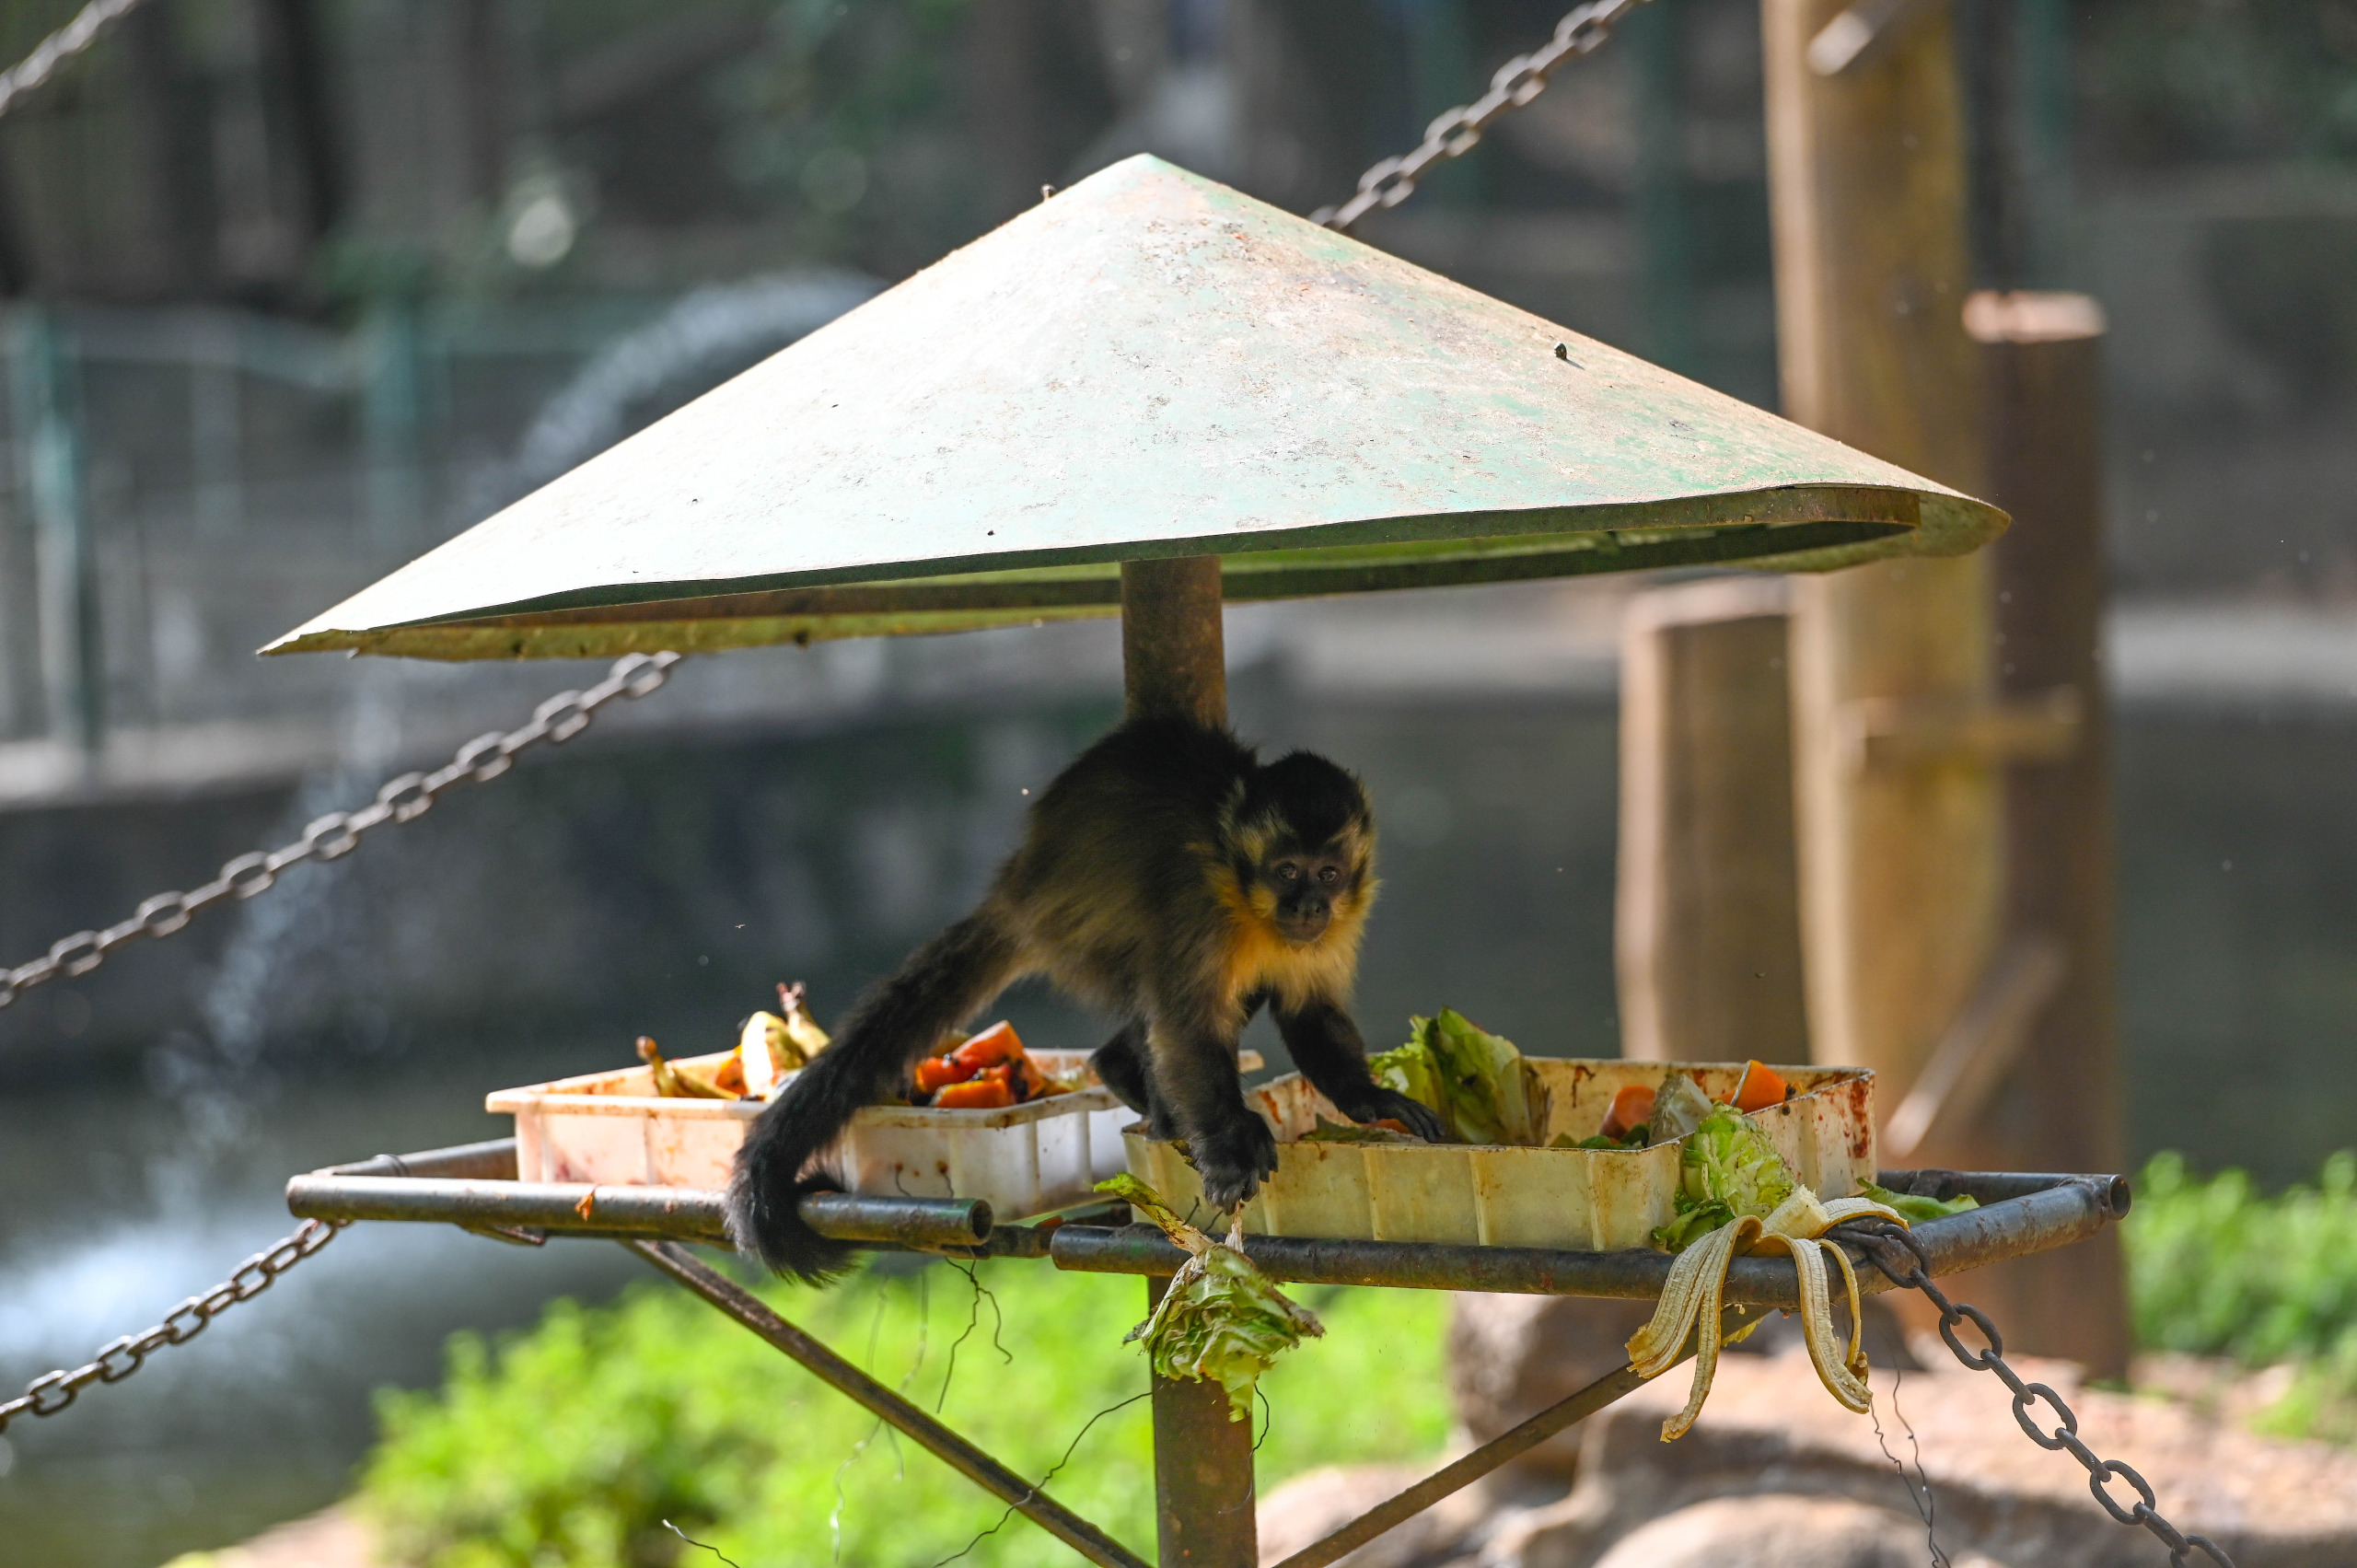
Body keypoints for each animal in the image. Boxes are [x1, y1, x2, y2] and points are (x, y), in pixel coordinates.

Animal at [726, 716, 1442, 1283]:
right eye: (1286, 871)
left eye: (1327, 873)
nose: (1308, 905)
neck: (1249, 898)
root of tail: (1018, 889)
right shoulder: (1202, 904)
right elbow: (1187, 1028)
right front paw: (1224, 1144)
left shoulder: (1339, 920)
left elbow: (1308, 1009)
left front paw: (1369, 1099)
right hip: (1079, 938)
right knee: (1166, 985)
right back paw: (1136, 1082)